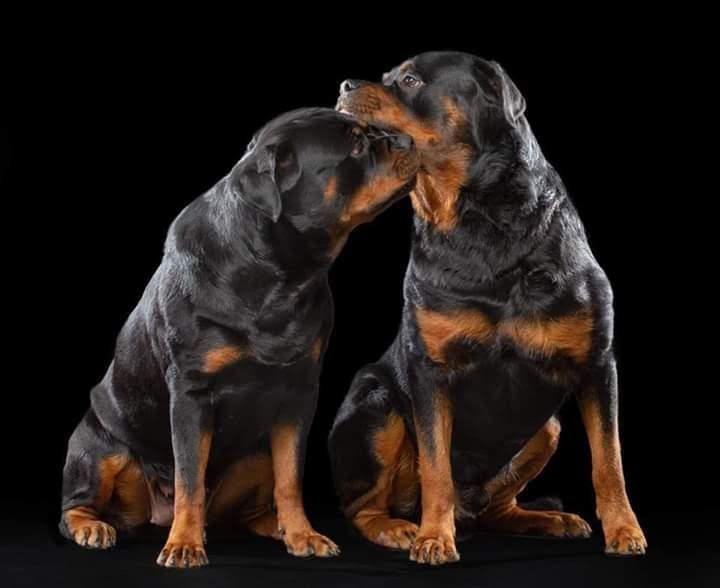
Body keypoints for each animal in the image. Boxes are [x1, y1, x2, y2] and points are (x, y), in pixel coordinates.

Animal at [59, 107, 419, 568]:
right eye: (356, 144)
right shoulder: (191, 394)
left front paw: (302, 533)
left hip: (255, 455)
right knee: (79, 502)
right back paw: (93, 526)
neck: (278, 273)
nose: (409, 141)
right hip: (98, 445)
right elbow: (189, 477)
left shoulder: (299, 394)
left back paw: (275, 527)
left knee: (250, 507)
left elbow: (290, 476)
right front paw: (184, 544)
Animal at [329, 52, 646, 565]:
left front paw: (624, 529)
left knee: (498, 506)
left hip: (547, 428)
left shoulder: (598, 364)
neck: (477, 219)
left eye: (410, 79)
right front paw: (434, 537)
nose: (344, 85)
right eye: (386, 77)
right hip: (374, 404)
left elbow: (608, 459)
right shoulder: (429, 370)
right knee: (362, 506)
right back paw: (398, 527)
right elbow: (435, 466)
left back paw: (546, 519)